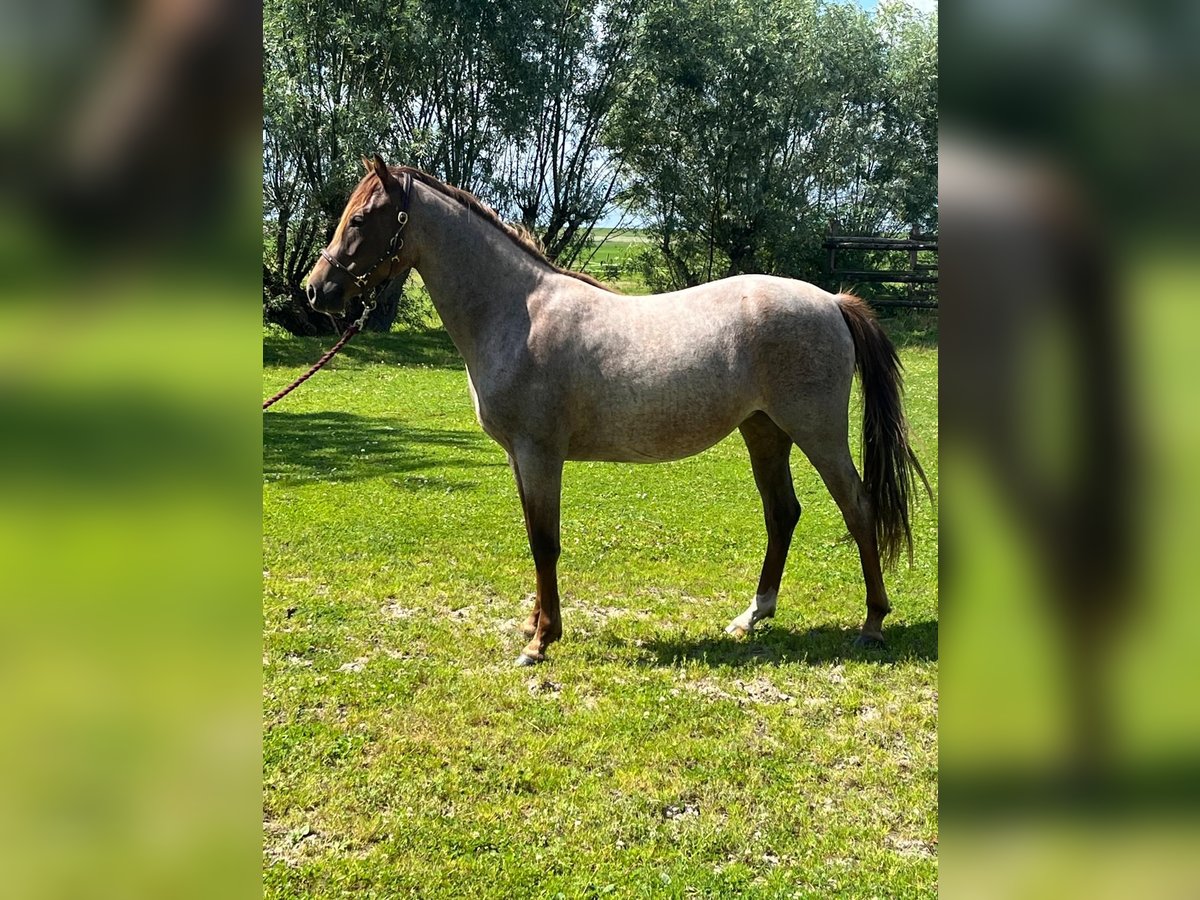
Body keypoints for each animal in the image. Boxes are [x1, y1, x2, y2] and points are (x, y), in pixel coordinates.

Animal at [304, 154, 931, 667]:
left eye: (361, 219)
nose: (316, 290)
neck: (517, 312)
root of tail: (831, 300)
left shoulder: (539, 454)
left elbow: (545, 541)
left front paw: (541, 642)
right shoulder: (520, 458)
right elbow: (534, 536)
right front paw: (535, 626)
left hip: (816, 432)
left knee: (858, 508)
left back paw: (873, 624)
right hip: (764, 432)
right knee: (783, 514)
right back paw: (752, 616)